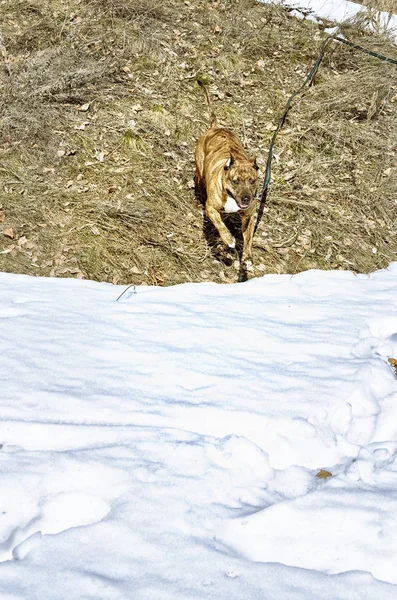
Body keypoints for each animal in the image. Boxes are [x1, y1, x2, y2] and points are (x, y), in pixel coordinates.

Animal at [193, 81, 258, 272]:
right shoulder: (212, 208)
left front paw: (248, 257)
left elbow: (248, 238)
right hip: (200, 169)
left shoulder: (249, 216)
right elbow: (220, 225)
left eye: (253, 181)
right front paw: (228, 239)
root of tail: (215, 126)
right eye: (235, 181)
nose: (246, 198)